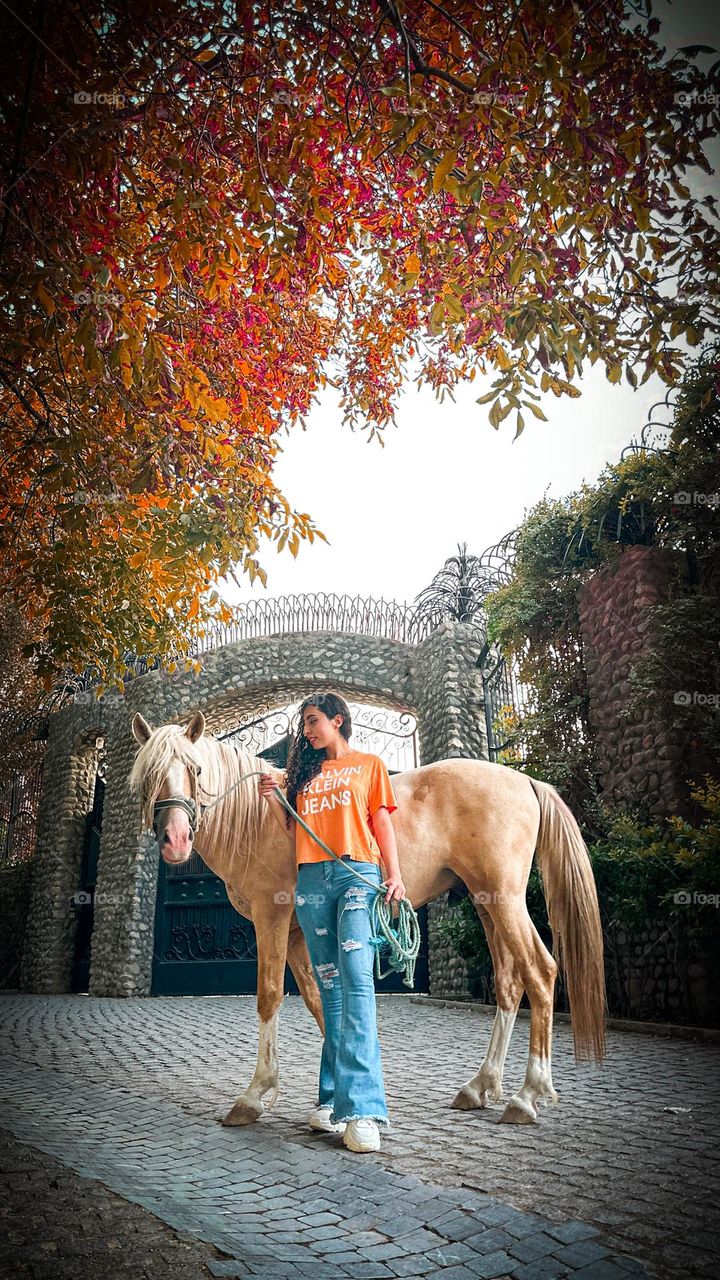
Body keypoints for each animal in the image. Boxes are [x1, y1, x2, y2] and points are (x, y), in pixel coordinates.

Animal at [130, 711, 604, 1131]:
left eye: (195, 769)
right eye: (148, 775)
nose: (175, 840)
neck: (260, 819)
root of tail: (525, 781)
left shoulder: (272, 919)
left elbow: (269, 997)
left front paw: (254, 1095)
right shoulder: (300, 934)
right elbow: (321, 1004)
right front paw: (334, 1102)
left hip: (506, 901)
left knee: (540, 973)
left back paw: (528, 1095)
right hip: (488, 904)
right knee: (509, 984)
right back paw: (480, 1086)